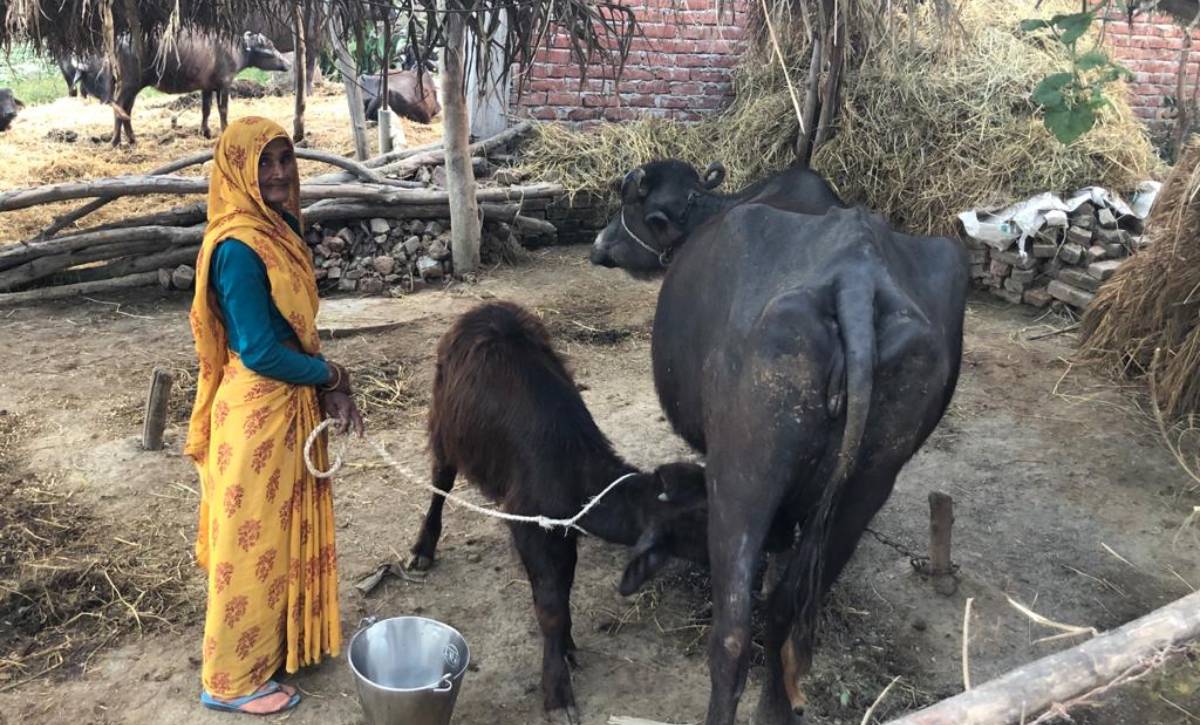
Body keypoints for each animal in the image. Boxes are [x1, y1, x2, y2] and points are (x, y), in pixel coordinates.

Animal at [592, 160, 974, 725]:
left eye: (629, 206)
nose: (599, 245)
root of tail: (856, 278)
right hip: (866, 487)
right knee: (783, 609)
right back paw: (777, 708)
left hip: (744, 476)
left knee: (733, 634)